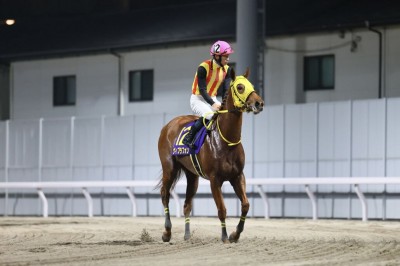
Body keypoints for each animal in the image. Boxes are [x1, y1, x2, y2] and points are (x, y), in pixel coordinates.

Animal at [158, 68, 264, 243]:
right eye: (240, 87)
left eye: (252, 86)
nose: (259, 103)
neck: (226, 140)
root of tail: (168, 126)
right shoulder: (215, 180)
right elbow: (222, 209)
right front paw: (225, 236)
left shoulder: (238, 176)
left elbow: (246, 205)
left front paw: (235, 234)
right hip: (169, 168)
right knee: (165, 195)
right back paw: (167, 232)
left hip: (192, 176)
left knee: (187, 204)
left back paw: (187, 235)